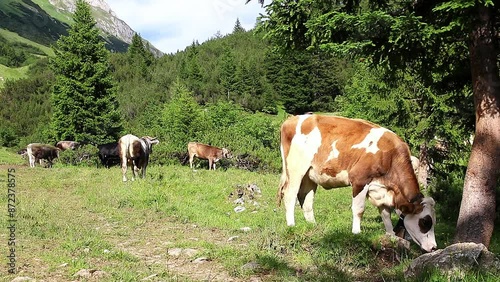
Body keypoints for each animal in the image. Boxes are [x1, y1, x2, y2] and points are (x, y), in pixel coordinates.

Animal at [278, 113, 438, 252]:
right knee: (290, 195)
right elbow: (359, 209)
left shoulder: (381, 191)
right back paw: (291, 224)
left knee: (306, 199)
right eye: (425, 222)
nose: (434, 247)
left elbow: (386, 215)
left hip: (309, 175)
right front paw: (356, 233)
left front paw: (391, 236)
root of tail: (293, 119)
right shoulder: (359, 180)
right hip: (296, 169)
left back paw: (313, 226)